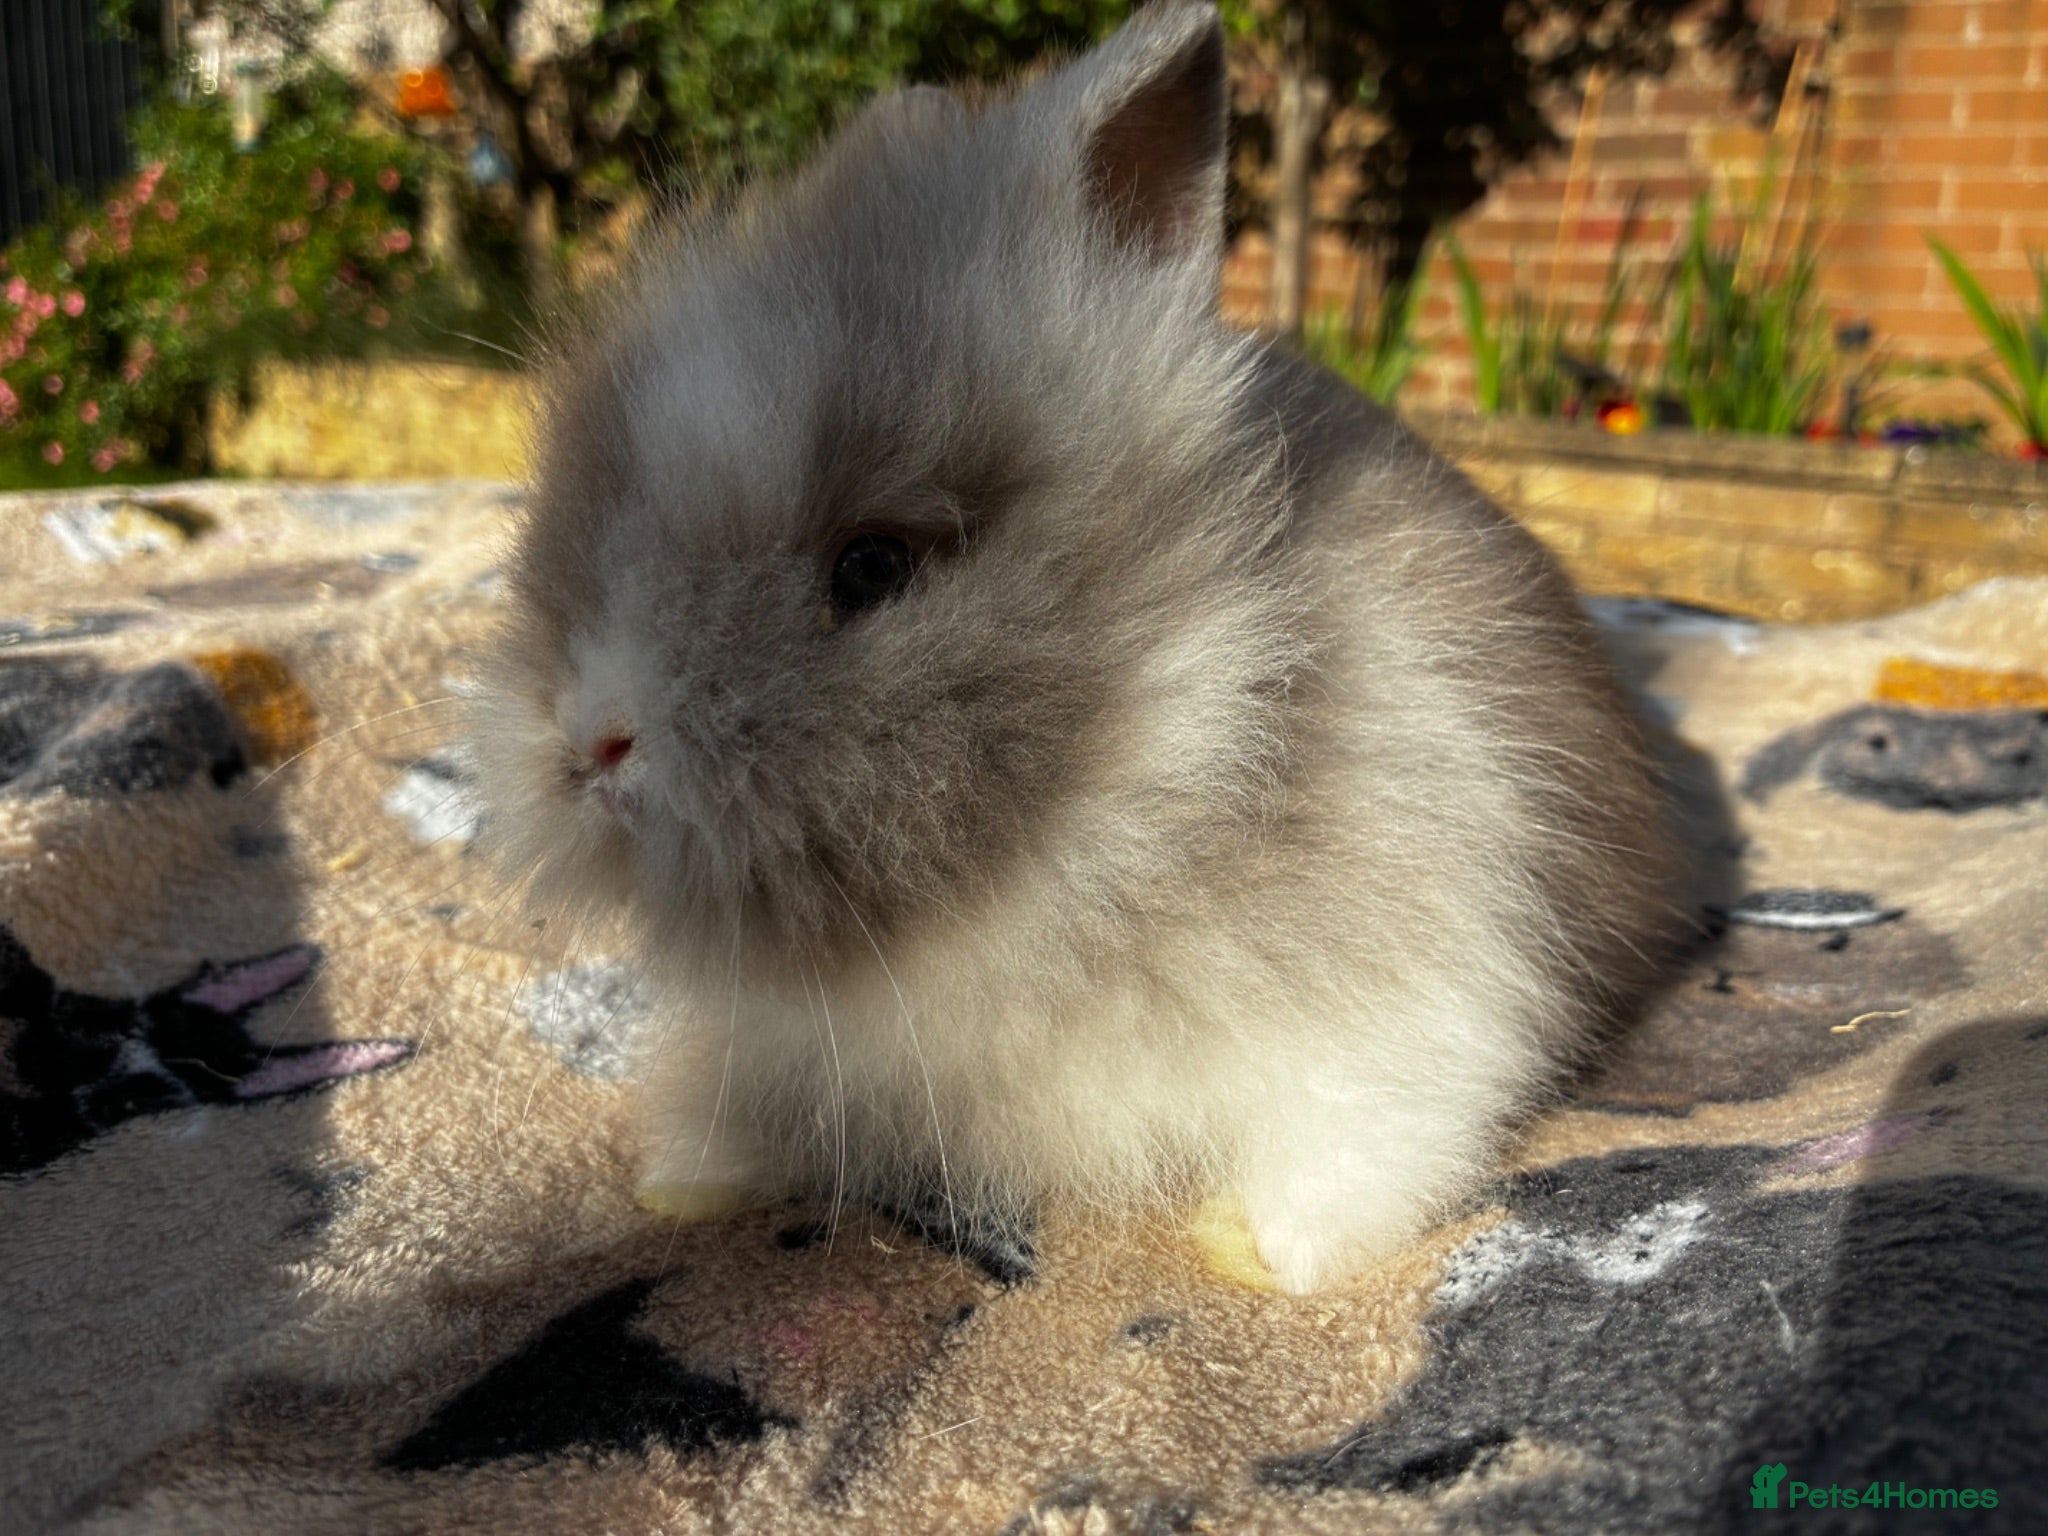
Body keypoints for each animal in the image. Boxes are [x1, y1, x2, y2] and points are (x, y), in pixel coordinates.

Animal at [470, 1, 1687, 1294]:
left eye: (874, 566)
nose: (590, 737)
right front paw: (685, 1184)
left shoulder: (1418, 993)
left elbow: (1367, 1137)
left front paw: (1255, 1253)